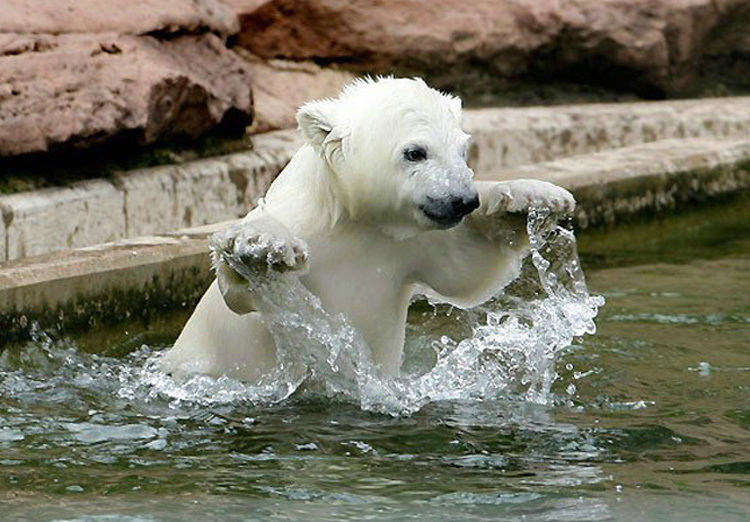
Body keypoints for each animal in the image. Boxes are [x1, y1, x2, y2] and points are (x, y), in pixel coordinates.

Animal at [163, 76, 576, 378]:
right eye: (415, 152)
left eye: (462, 151)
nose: (463, 200)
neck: (353, 220)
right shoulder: (306, 224)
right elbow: (239, 292)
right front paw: (261, 247)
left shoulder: (409, 245)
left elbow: (465, 271)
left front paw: (528, 199)